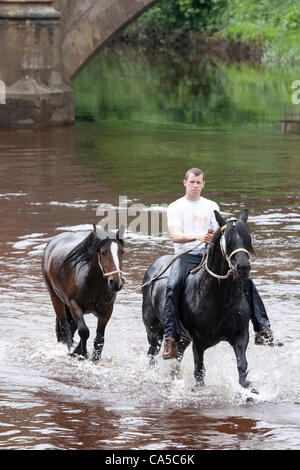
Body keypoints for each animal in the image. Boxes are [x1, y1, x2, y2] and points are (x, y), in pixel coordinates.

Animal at [42, 224, 124, 360]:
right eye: (103, 252)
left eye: (122, 252)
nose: (116, 282)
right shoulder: (74, 304)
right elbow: (84, 331)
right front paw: (81, 354)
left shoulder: (107, 310)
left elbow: (99, 338)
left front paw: (95, 357)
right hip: (56, 298)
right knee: (65, 325)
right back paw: (70, 348)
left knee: (73, 326)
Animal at [142, 210, 258, 392]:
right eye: (227, 239)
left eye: (248, 236)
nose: (243, 267)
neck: (220, 298)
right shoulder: (199, 341)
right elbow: (199, 371)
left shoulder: (240, 336)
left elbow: (242, 366)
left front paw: (248, 390)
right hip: (153, 332)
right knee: (152, 354)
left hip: (182, 338)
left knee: (177, 357)